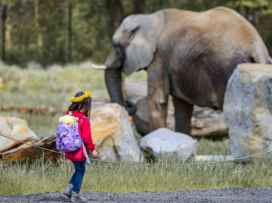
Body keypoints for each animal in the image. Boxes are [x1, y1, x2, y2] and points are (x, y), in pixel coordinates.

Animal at [93, 6, 270, 136]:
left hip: (227, 70)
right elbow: (182, 106)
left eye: (115, 45)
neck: (149, 18)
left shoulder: (158, 56)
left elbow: (158, 100)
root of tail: (256, 45)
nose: (128, 101)